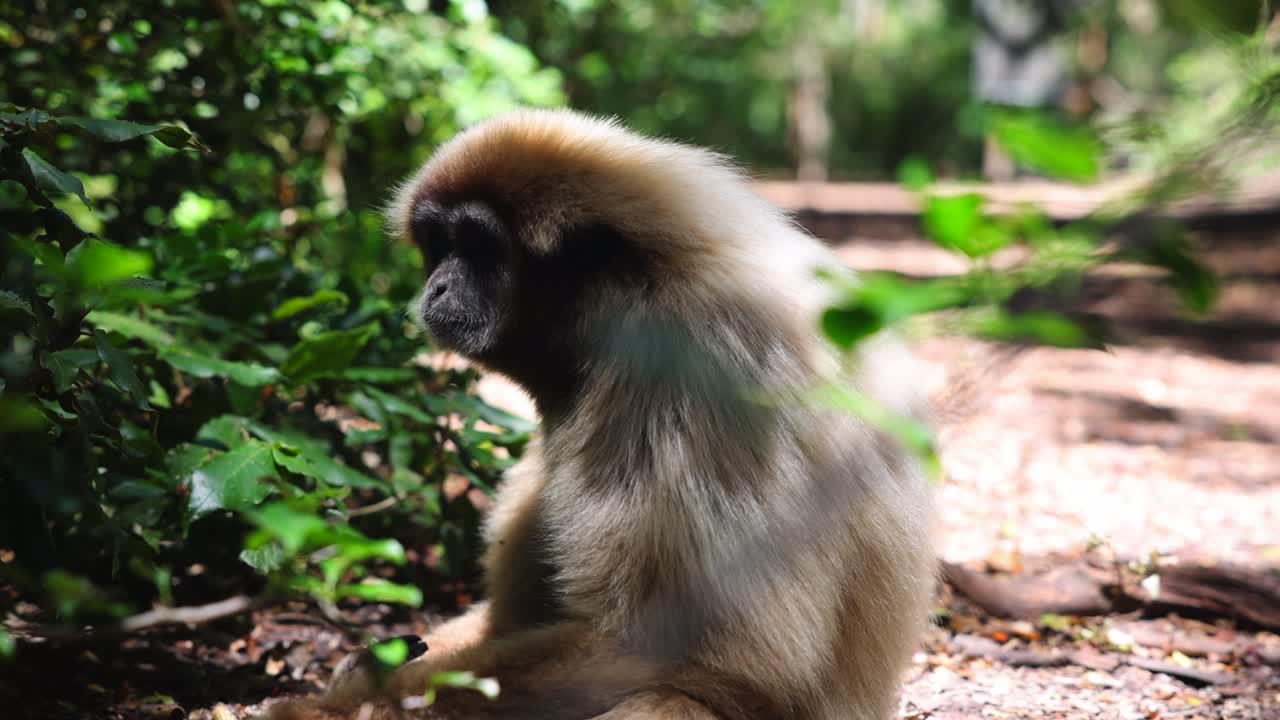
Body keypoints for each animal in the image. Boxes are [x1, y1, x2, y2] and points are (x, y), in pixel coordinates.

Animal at [268, 109, 935, 720]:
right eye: (440, 245)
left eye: (479, 248)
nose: (436, 287)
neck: (640, 285)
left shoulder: (697, 357)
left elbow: (684, 650)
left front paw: (338, 704)